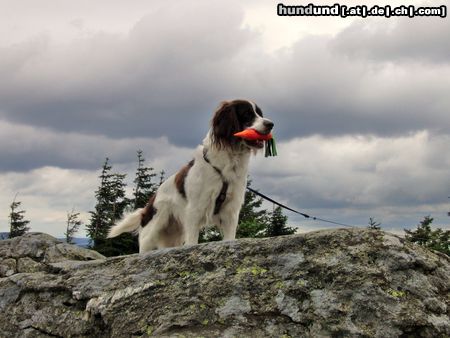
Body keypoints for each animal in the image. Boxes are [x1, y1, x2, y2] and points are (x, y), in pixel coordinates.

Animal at [108, 99, 274, 252]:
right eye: (248, 114)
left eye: (260, 113)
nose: (271, 124)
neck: (226, 164)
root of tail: (149, 204)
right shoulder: (195, 211)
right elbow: (193, 242)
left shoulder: (230, 212)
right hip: (151, 232)